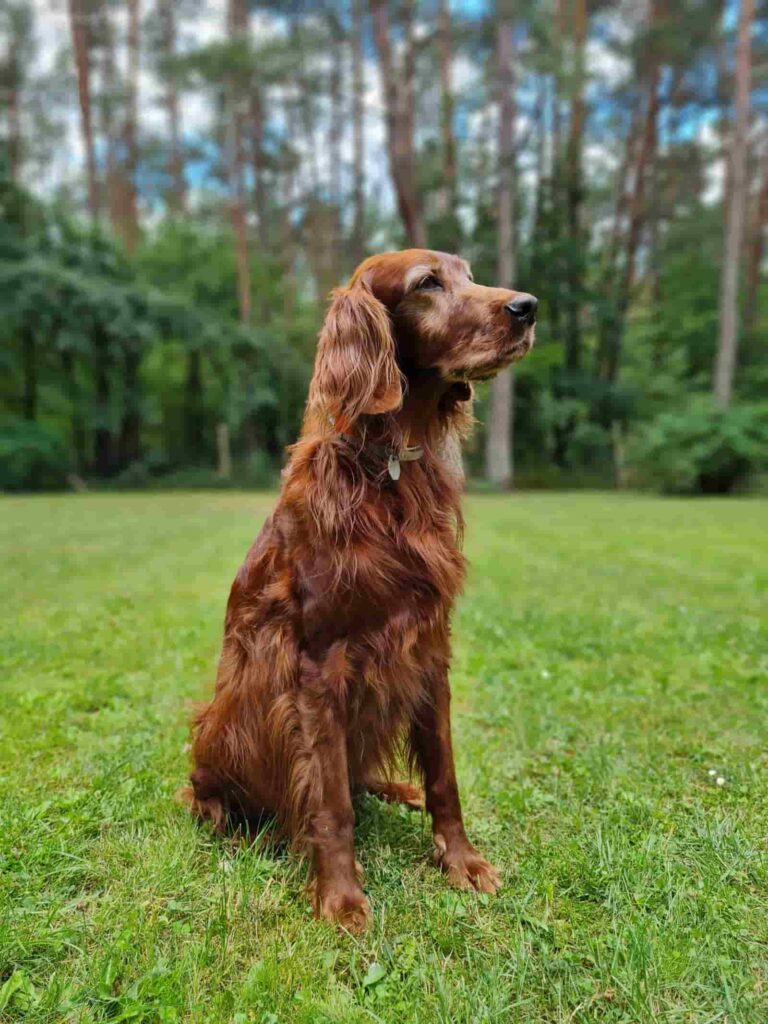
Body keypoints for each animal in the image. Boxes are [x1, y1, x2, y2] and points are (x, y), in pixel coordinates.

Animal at [184, 247, 536, 929]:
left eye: (469, 273)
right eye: (427, 283)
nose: (527, 306)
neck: (389, 469)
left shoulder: (426, 649)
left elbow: (444, 774)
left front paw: (460, 861)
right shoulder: (319, 664)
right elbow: (328, 799)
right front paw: (341, 896)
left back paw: (396, 788)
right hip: (224, 719)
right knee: (213, 789)